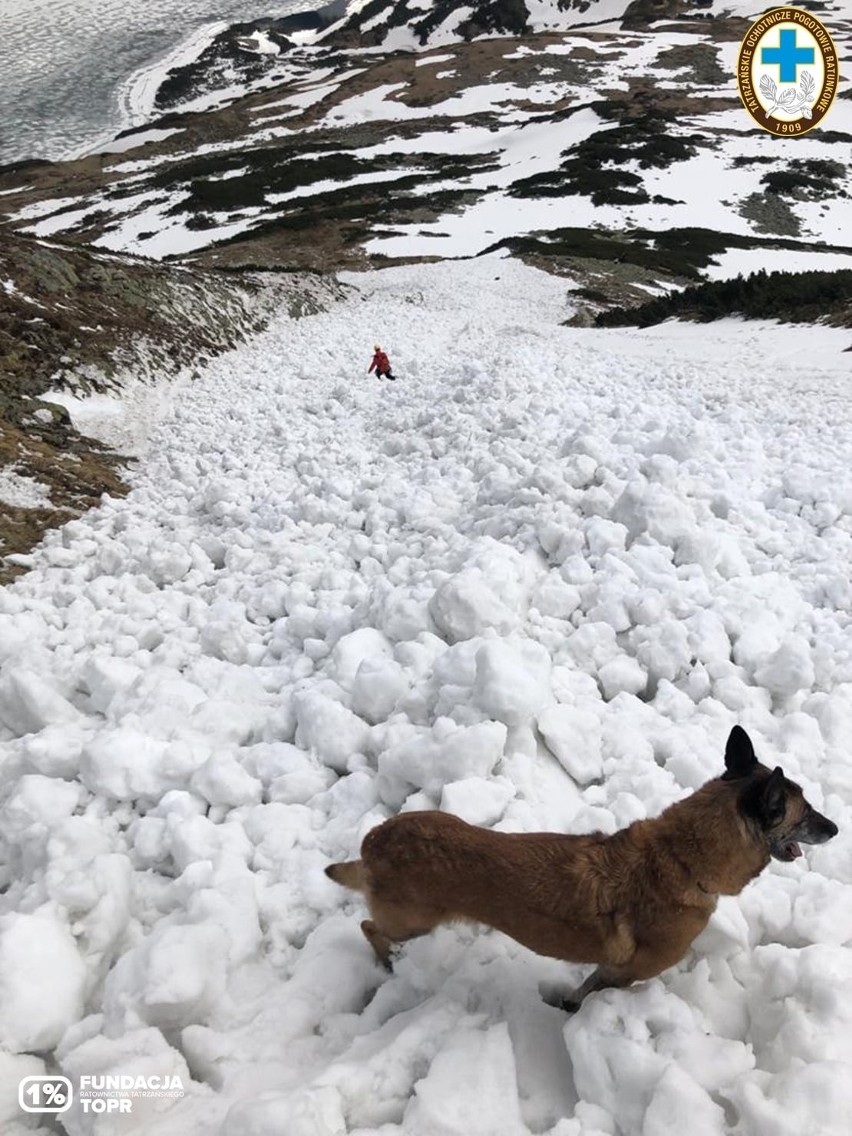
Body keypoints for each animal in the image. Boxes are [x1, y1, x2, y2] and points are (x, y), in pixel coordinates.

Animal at [327, 727, 840, 1004]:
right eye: (805, 813)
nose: (836, 828)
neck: (680, 855)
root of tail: (374, 841)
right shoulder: (626, 973)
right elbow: (585, 997)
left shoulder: (608, 968)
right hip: (413, 921)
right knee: (370, 928)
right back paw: (388, 965)